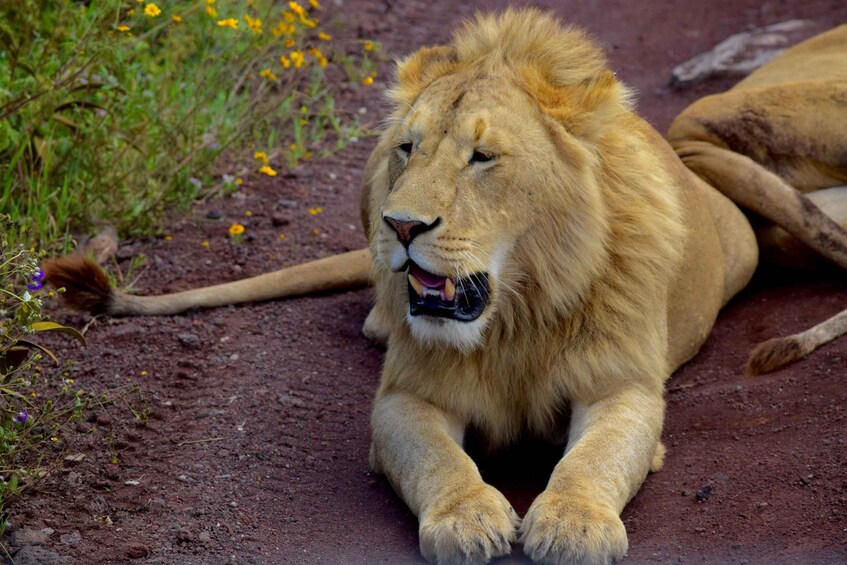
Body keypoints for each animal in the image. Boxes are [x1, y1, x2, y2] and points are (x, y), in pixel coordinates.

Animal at [43, 10, 847, 564]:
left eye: (482, 157)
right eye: (408, 147)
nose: (400, 225)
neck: (516, 314)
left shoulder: (622, 388)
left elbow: (592, 458)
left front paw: (573, 522)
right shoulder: (405, 398)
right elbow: (439, 460)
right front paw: (468, 518)